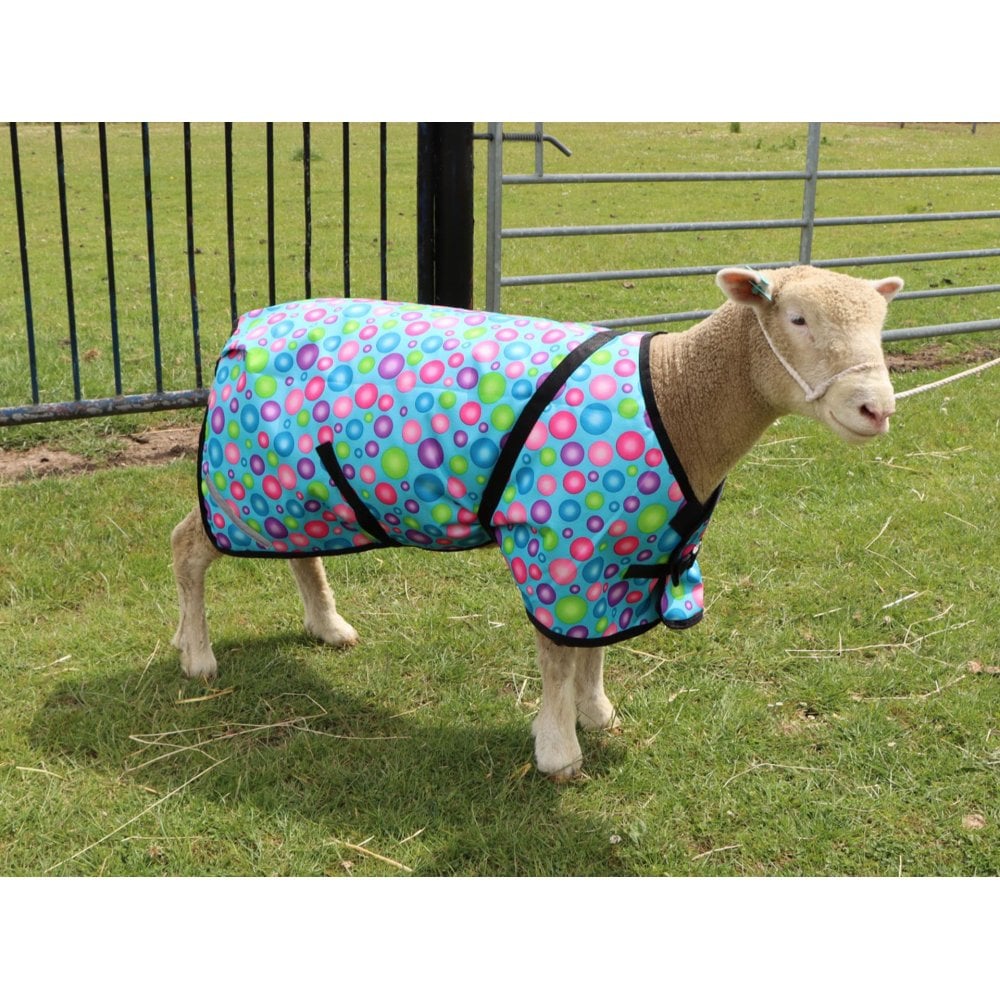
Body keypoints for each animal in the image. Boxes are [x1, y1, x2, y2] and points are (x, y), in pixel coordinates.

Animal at [171, 265, 903, 780]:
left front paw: (597, 713)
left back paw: (324, 627)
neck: (678, 394)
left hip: (295, 488)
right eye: (798, 319)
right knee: (186, 545)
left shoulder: (626, 549)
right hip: (242, 479)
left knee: (300, 550)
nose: (877, 409)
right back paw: (197, 656)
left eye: (881, 327)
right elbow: (556, 655)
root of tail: (246, 324)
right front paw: (558, 751)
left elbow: (596, 647)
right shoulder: (559, 542)